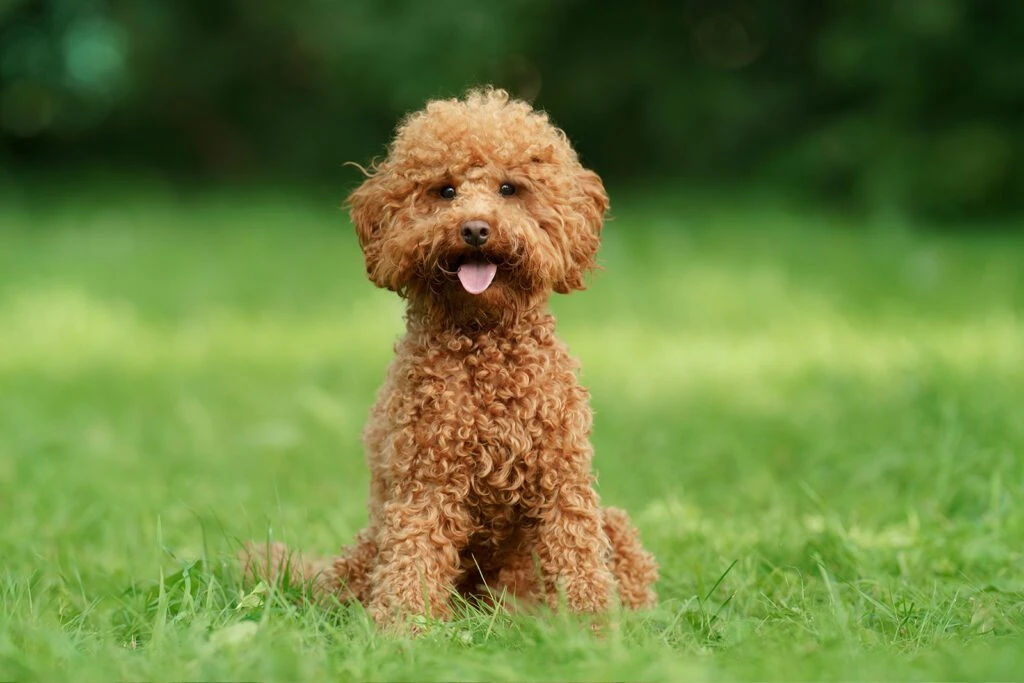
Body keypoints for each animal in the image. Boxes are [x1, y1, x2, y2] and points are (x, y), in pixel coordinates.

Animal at [239, 87, 655, 630]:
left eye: (509, 188)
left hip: (612, 527)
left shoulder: (561, 479)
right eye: (445, 191)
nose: (475, 229)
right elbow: (414, 553)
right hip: (365, 554)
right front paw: (402, 628)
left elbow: (577, 554)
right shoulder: (426, 479)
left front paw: (594, 629)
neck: (484, 343)